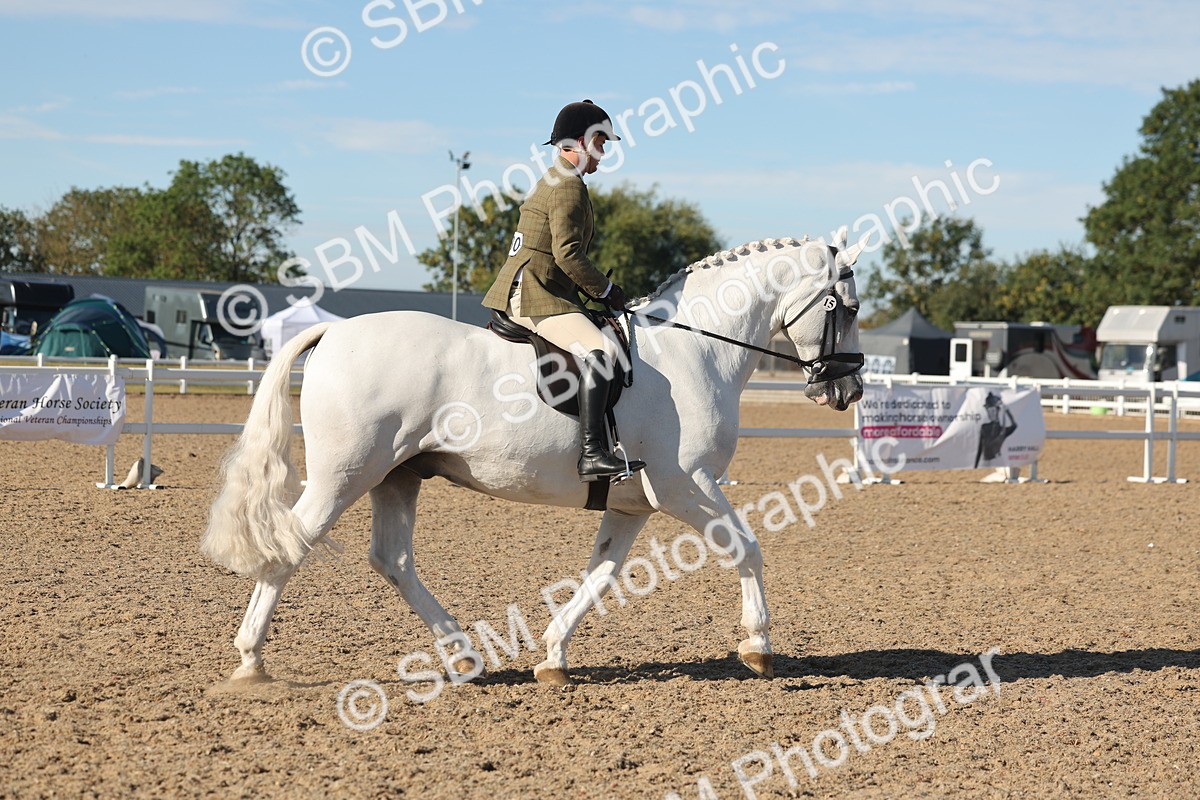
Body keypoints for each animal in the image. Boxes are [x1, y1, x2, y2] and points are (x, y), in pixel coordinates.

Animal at [201, 227, 867, 686]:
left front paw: (553, 657)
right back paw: (251, 662)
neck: (695, 350)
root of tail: (334, 331)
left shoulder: (634, 502)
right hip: (345, 475)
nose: (850, 389)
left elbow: (601, 575)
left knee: (393, 559)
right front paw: (758, 647)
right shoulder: (686, 486)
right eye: (852, 308)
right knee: (291, 545)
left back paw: (465, 656)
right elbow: (747, 547)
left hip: (397, 475)